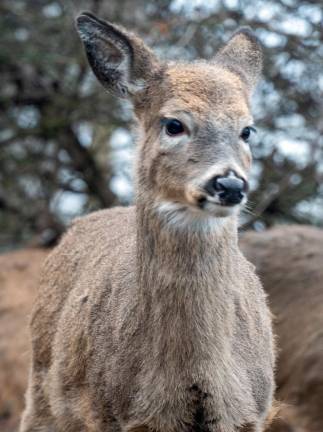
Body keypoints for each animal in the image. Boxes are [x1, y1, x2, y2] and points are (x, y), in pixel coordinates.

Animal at [19, 11, 274, 432]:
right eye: (173, 124)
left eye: (247, 130)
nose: (229, 184)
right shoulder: (109, 412)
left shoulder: (248, 412)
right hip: (42, 392)